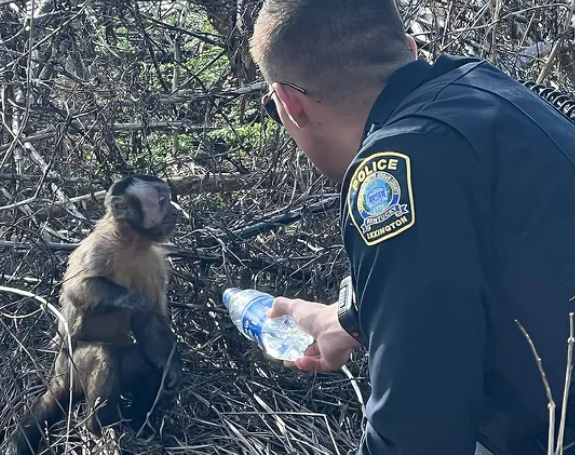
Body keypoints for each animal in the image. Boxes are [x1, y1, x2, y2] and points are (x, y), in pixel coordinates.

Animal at [7, 175, 186, 455]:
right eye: (161, 202)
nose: (173, 212)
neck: (131, 242)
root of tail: (57, 378)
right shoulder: (100, 246)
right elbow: (77, 289)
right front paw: (131, 299)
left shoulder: (154, 261)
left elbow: (150, 321)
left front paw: (173, 368)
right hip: (70, 369)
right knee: (103, 354)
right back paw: (98, 427)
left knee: (147, 366)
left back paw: (137, 425)